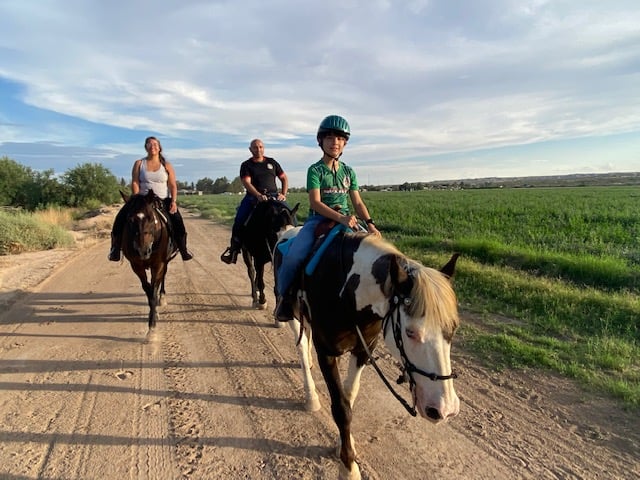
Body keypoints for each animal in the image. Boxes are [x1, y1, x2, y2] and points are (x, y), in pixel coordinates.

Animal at [119, 188, 175, 330]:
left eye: (151, 218)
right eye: (129, 219)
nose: (143, 251)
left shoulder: (159, 264)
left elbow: (154, 288)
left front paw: (153, 325)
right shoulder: (136, 265)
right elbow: (148, 290)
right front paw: (153, 316)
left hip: (165, 262)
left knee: (162, 278)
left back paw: (162, 297)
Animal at [276, 230, 460, 480]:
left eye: (453, 329)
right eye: (410, 332)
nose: (445, 409)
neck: (346, 290)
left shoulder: (363, 350)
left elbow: (349, 395)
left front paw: (345, 443)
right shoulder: (326, 352)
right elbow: (341, 408)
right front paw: (348, 467)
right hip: (293, 316)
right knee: (303, 350)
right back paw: (311, 396)